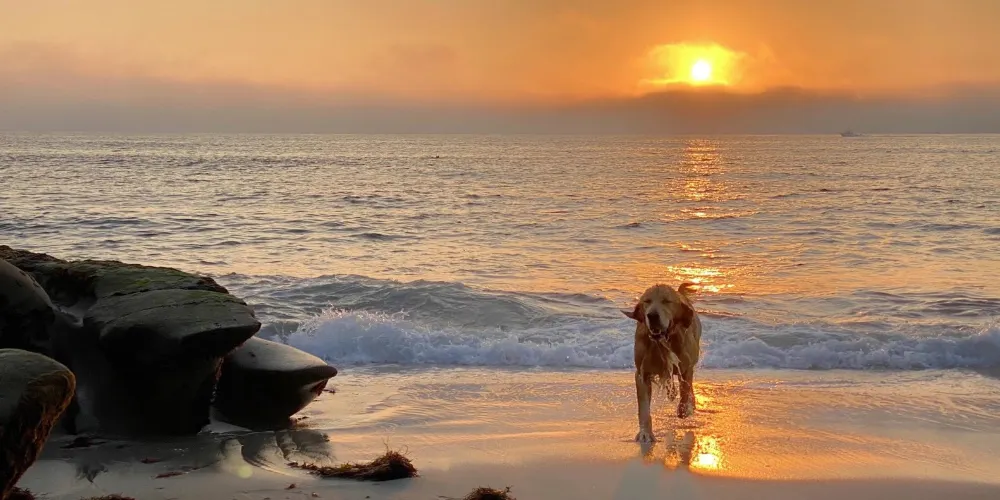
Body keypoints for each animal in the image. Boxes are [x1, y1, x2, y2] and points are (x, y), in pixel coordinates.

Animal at [621, 283, 702, 443]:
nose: (652, 316)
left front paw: (684, 409)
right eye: (647, 301)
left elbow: (685, 388)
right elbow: (644, 408)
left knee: (688, 386)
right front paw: (645, 433)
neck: (661, 341)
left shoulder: (686, 367)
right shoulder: (642, 374)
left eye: (666, 301)